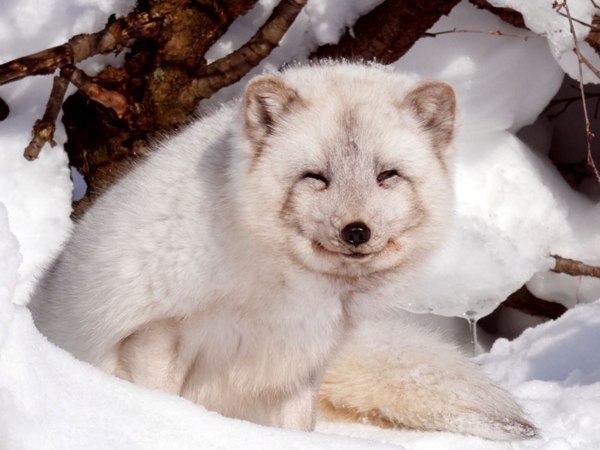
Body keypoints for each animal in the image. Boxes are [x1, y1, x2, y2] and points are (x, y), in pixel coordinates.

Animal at [27, 61, 536, 438]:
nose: (356, 231)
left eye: (387, 175)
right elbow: (161, 402)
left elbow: (298, 428)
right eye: (316, 177)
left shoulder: (301, 366)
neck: (276, 285)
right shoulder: (153, 334)